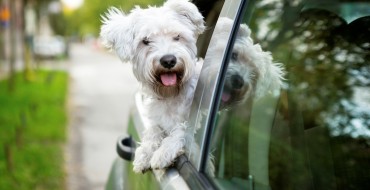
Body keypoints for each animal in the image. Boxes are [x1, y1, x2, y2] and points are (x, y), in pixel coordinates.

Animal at [99, 0, 205, 174]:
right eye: (146, 41)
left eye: (177, 37)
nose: (168, 60)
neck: (171, 95)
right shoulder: (157, 120)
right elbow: (153, 131)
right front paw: (144, 153)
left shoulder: (193, 123)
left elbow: (182, 130)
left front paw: (163, 152)